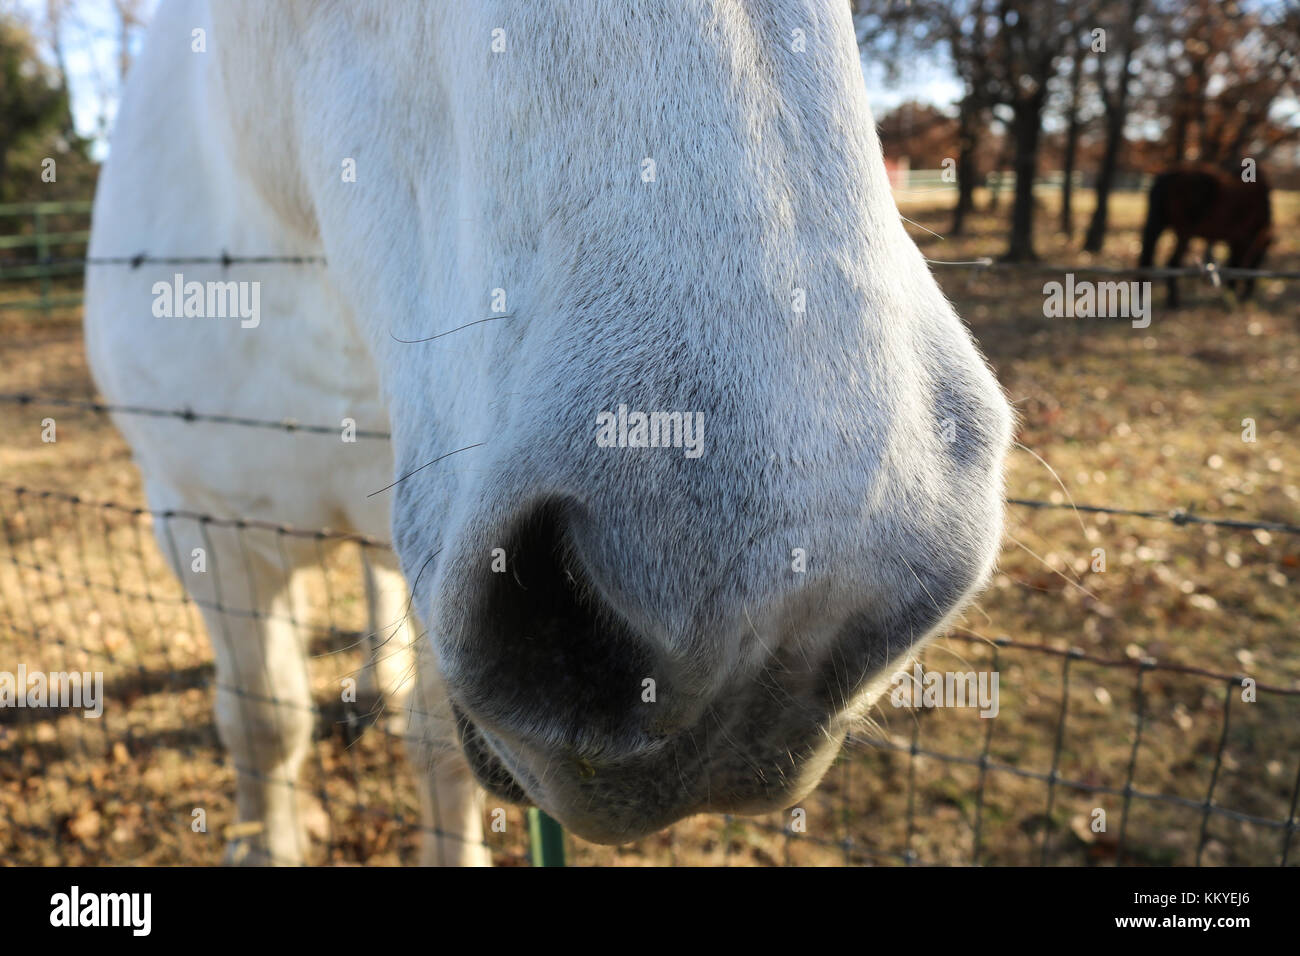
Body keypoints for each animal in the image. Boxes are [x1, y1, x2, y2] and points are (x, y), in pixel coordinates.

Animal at [1138, 163, 1273, 306]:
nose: (1247, 296)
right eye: (1259, 258)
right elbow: (1235, 264)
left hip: (1163, 225)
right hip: (1184, 233)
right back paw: (1173, 301)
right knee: (1172, 262)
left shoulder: (1234, 240)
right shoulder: (1241, 239)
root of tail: (1168, 176)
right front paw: (1231, 296)